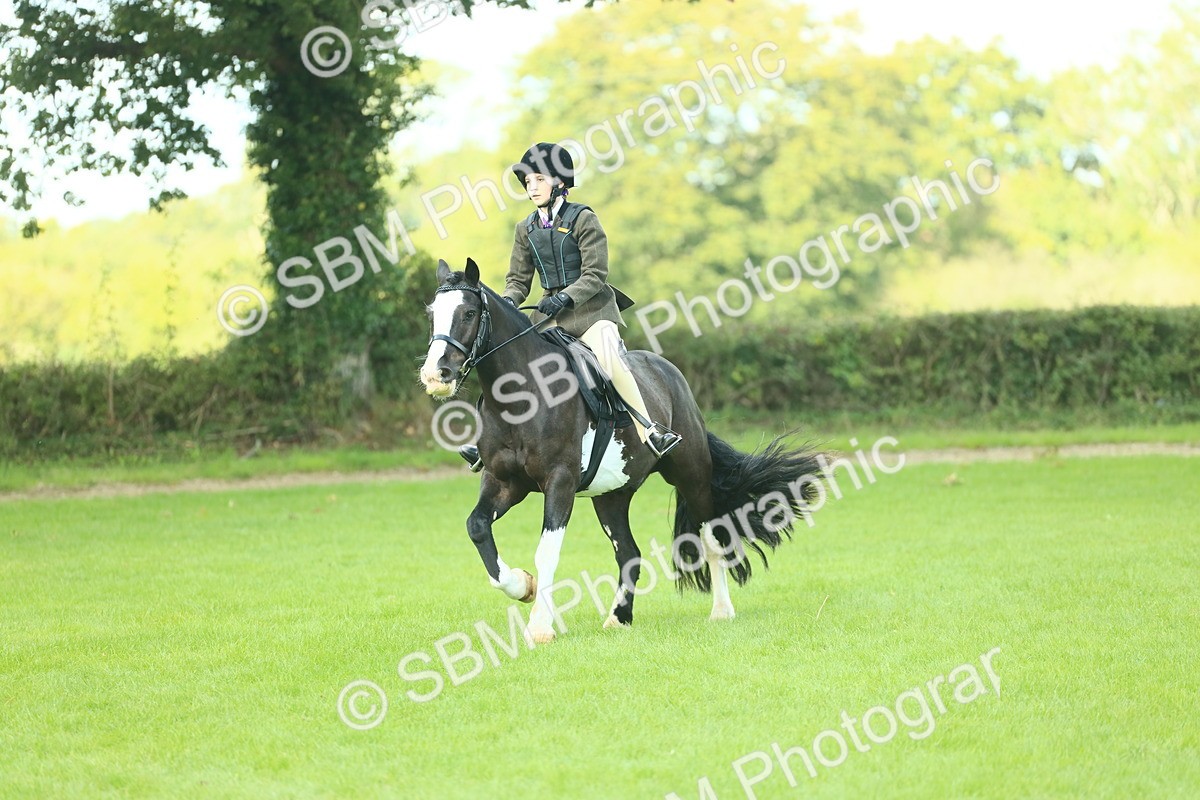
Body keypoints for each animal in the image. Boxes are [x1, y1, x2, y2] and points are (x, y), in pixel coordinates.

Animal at [419, 258, 825, 644]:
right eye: (432, 314)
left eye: (468, 313)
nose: (436, 375)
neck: (523, 397)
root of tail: (670, 373)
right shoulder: (503, 481)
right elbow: (477, 528)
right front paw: (523, 586)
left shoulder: (560, 482)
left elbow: (547, 552)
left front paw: (540, 627)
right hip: (611, 494)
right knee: (629, 553)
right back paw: (619, 617)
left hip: (691, 475)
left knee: (711, 536)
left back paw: (721, 611)